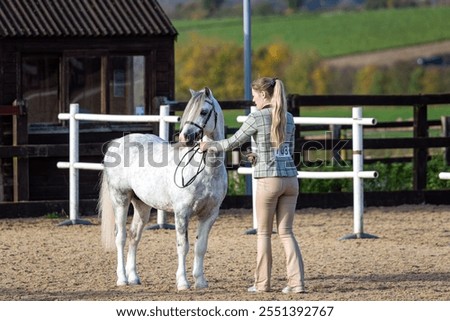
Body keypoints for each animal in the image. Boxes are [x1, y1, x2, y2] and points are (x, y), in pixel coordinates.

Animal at [97, 87, 225, 290]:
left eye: (204, 112)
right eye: (187, 111)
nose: (185, 137)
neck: (205, 169)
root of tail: (117, 142)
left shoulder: (210, 214)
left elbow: (200, 247)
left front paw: (200, 281)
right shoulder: (182, 213)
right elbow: (183, 246)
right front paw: (183, 282)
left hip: (142, 205)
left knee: (134, 236)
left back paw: (134, 277)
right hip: (121, 200)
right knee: (121, 237)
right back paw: (122, 279)